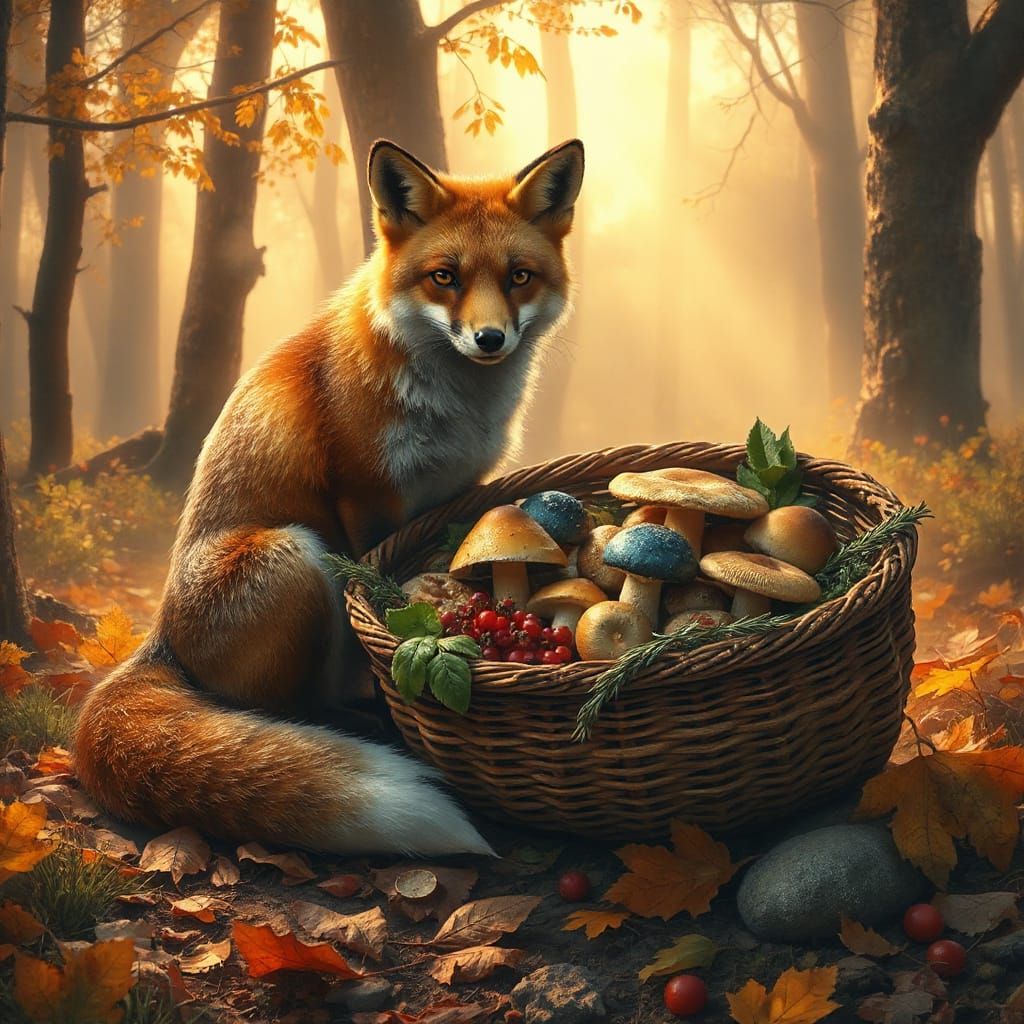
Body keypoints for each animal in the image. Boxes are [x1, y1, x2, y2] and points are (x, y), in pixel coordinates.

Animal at [74, 138, 584, 857]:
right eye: (444, 277)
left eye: (518, 277)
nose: (490, 339)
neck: (454, 408)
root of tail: (162, 635)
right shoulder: (364, 495)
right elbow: (371, 594)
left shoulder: (460, 491)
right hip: (296, 553)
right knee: (285, 707)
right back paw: (354, 721)